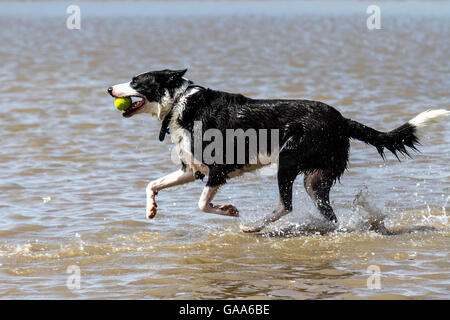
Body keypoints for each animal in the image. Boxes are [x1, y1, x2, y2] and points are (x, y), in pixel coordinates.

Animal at [108, 69, 446, 232]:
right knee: (324, 211)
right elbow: (152, 184)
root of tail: (341, 120)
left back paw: (254, 227)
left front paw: (229, 211)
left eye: (136, 80)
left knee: (287, 205)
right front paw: (151, 208)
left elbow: (202, 204)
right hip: (315, 177)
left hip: (288, 159)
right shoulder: (192, 170)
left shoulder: (218, 169)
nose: (109, 88)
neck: (181, 102)